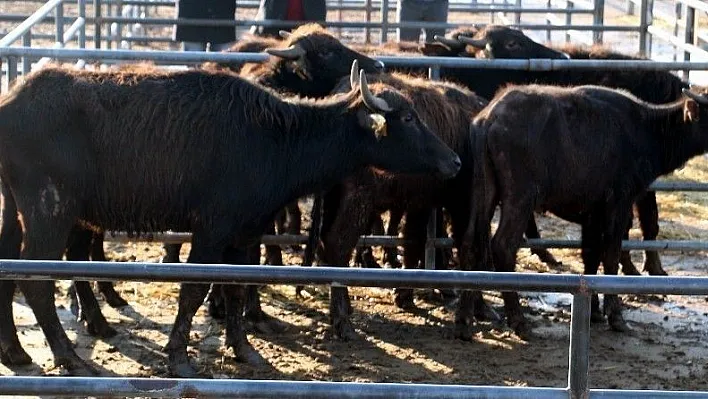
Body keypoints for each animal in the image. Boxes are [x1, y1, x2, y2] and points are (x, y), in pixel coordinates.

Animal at [0, 62, 460, 378]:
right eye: (408, 118)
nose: (454, 161)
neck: (275, 136)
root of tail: (12, 104)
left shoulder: (246, 233)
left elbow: (237, 288)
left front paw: (244, 350)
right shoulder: (211, 229)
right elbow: (194, 291)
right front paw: (179, 358)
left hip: (15, 212)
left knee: (11, 272)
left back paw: (18, 351)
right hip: (50, 212)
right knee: (35, 282)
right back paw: (69, 357)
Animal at [460, 84, 708, 340]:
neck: (645, 131)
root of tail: (490, 117)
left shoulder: (592, 214)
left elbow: (591, 255)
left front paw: (594, 310)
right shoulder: (618, 204)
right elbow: (610, 255)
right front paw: (615, 316)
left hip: (484, 189)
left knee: (470, 242)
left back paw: (465, 320)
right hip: (520, 196)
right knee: (503, 245)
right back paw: (519, 321)